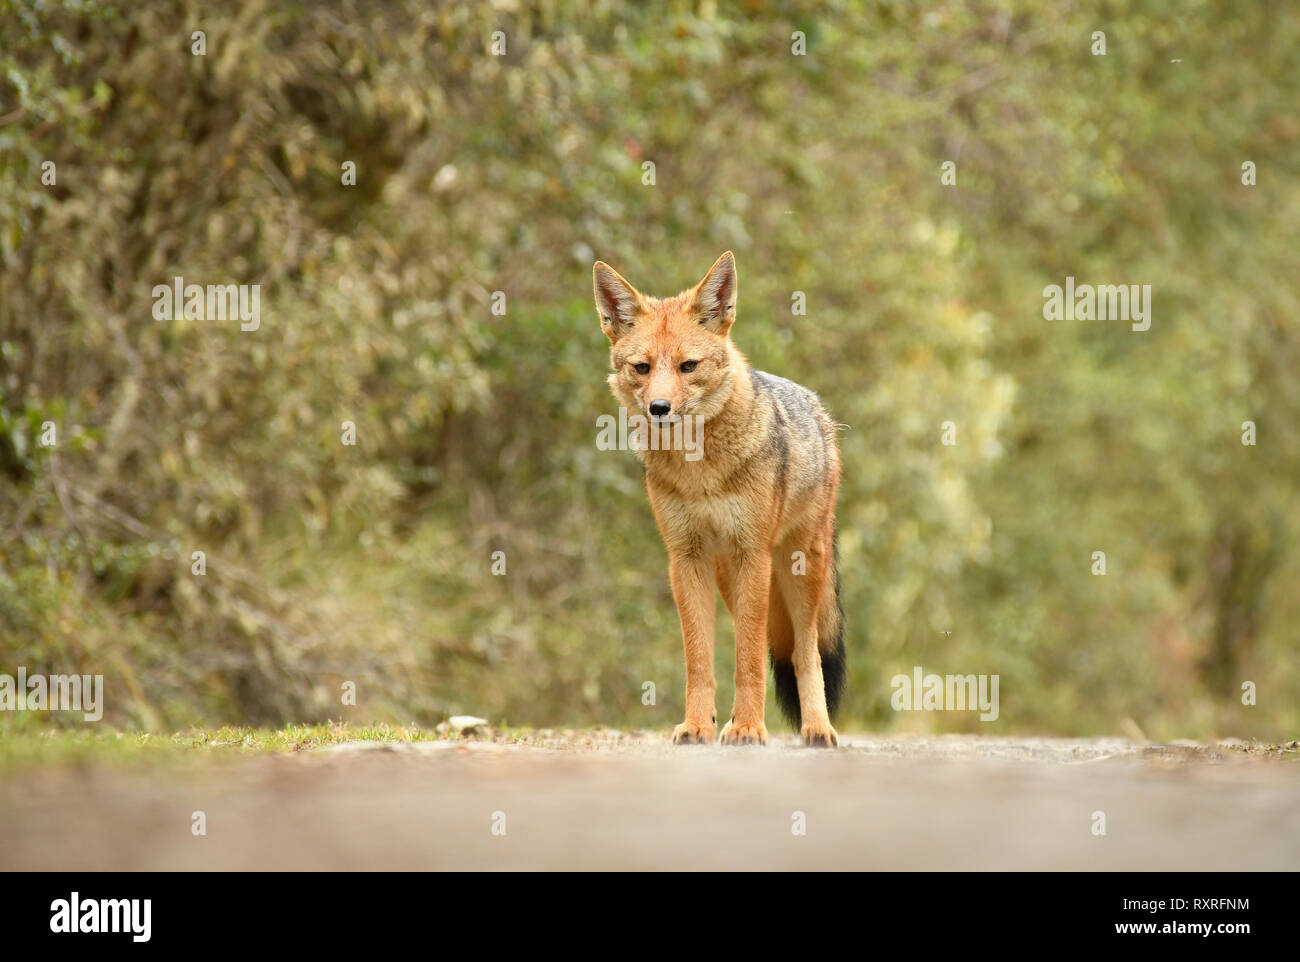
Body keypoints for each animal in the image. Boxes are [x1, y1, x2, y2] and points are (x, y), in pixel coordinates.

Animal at [594, 251, 846, 748]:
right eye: (642, 368)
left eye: (688, 366)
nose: (659, 409)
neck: (701, 473)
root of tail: (818, 408)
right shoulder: (685, 557)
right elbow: (700, 660)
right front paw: (699, 724)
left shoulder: (751, 554)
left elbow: (748, 660)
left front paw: (749, 727)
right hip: (731, 576)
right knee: (771, 642)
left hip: (796, 569)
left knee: (804, 651)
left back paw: (816, 727)